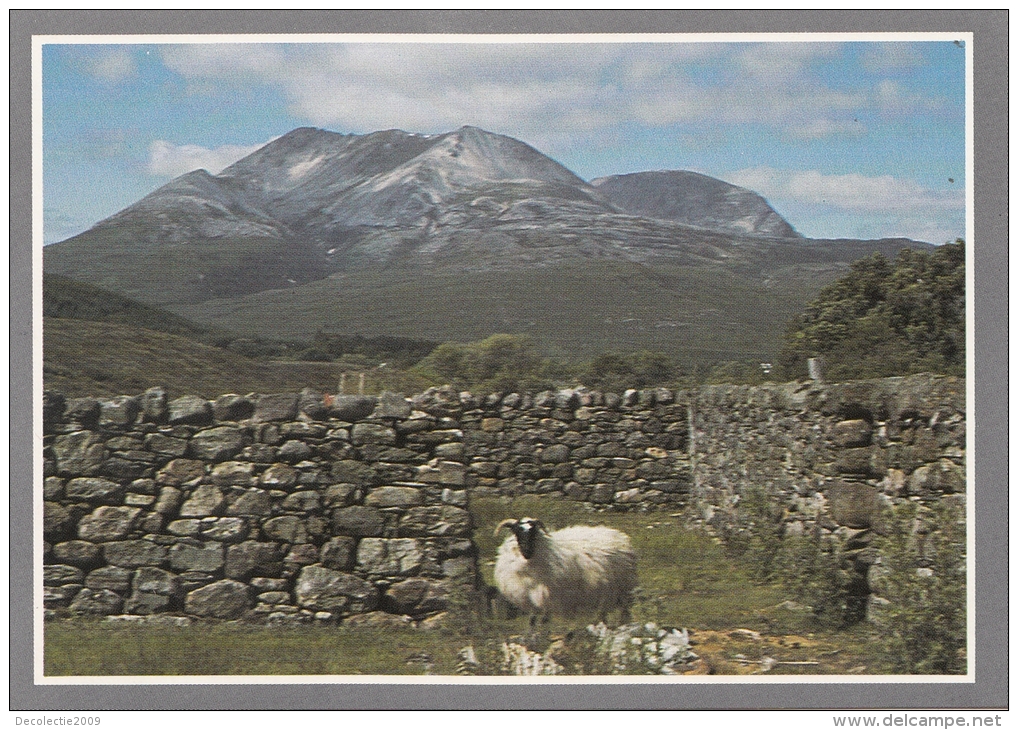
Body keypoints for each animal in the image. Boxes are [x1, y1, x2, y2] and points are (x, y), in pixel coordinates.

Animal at [492, 513, 635, 627]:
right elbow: (532, 620)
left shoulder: (548, 596)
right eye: (517, 531)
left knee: (624, 611)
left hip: (623, 590)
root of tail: (619, 535)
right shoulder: (529, 597)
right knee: (603, 613)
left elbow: (544, 620)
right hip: (605, 593)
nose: (527, 551)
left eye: (533, 531)